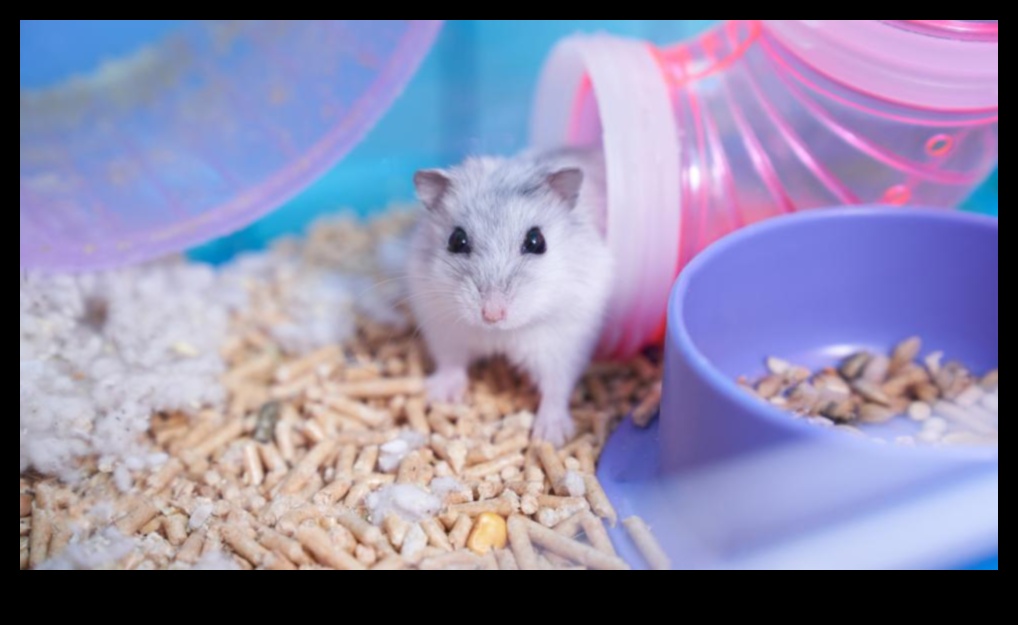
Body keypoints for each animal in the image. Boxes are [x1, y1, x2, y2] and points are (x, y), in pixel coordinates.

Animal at [408, 148, 613, 447]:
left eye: (536, 241)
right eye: (456, 240)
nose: (492, 314)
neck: (498, 334)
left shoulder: (562, 343)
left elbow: (556, 387)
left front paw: (550, 437)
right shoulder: (445, 329)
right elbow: (451, 362)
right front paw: (437, 395)